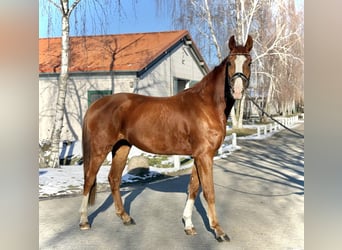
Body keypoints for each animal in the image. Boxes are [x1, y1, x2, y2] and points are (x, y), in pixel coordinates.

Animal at [79, 35, 252, 242]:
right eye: (230, 63)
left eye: (249, 62)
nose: (238, 91)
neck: (206, 105)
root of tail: (96, 104)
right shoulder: (204, 156)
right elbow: (209, 192)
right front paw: (218, 231)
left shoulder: (199, 156)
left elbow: (193, 188)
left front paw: (189, 225)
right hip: (100, 149)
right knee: (89, 179)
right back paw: (84, 221)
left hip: (121, 147)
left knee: (114, 178)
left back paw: (125, 217)